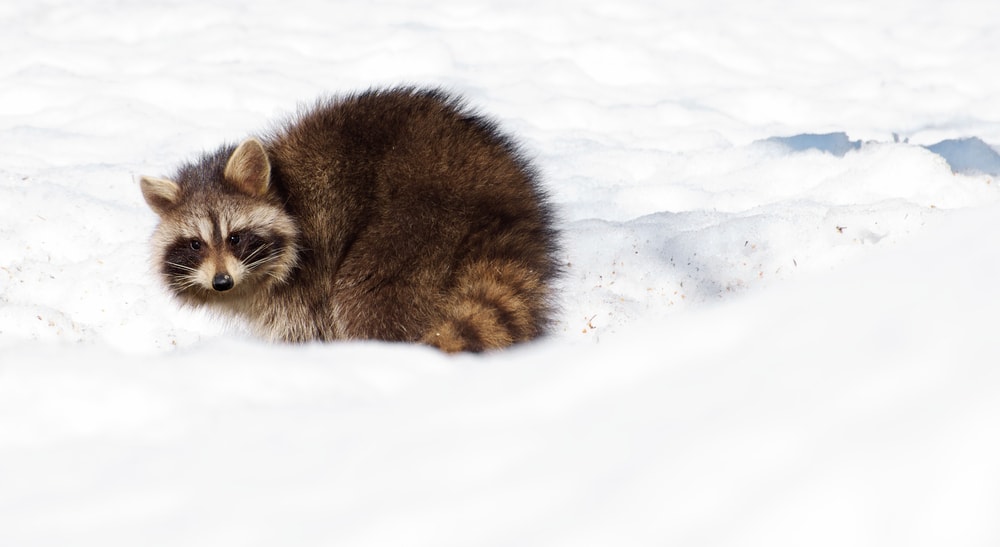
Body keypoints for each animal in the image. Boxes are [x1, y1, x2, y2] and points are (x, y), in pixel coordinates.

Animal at [140, 87, 559, 352]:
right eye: (196, 244)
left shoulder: (307, 277)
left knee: (368, 297)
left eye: (235, 238)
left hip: (413, 228)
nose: (221, 282)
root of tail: (500, 208)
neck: (283, 191)